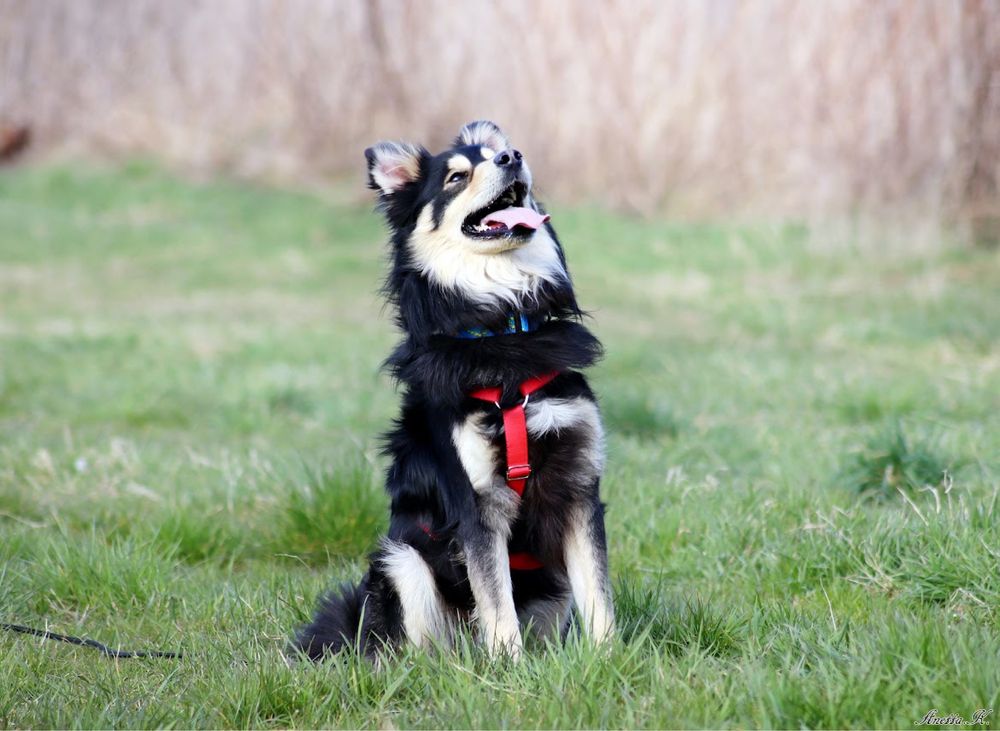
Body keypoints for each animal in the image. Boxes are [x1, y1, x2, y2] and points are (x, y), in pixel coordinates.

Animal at [292, 121, 612, 664]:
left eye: (501, 153)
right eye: (457, 177)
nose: (512, 156)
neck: (504, 323)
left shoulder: (579, 486)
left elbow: (598, 593)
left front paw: (610, 658)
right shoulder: (477, 503)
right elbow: (497, 603)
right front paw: (510, 669)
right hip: (402, 560)